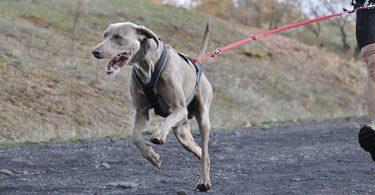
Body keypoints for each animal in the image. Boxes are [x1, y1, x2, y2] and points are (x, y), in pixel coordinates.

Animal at [92, 21, 214, 192]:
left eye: (118, 37)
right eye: (105, 35)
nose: (95, 51)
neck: (147, 66)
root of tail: (197, 63)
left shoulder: (179, 109)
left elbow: (166, 121)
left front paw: (158, 136)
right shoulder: (140, 111)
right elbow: (135, 136)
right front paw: (153, 157)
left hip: (202, 117)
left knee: (205, 150)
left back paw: (204, 182)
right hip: (182, 133)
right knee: (202, 152)